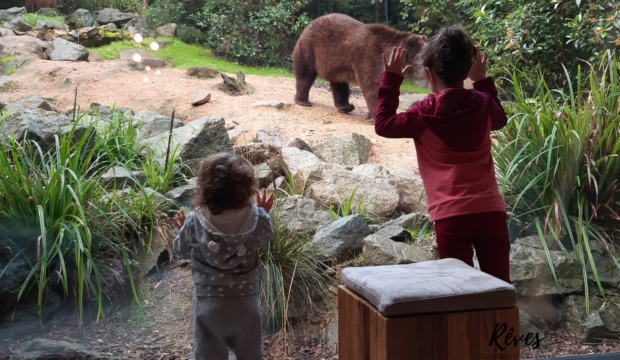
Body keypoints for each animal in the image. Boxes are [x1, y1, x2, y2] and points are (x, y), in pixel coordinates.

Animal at [294, 14, 428, 121]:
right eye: (423, 59)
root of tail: (308, 26)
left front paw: (369, 114)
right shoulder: (369, 56)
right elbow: (372, 85)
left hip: (335, 63)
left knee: (339, 83)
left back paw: (346, 106)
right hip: (310, 48)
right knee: (305, 74)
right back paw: (303, 101)